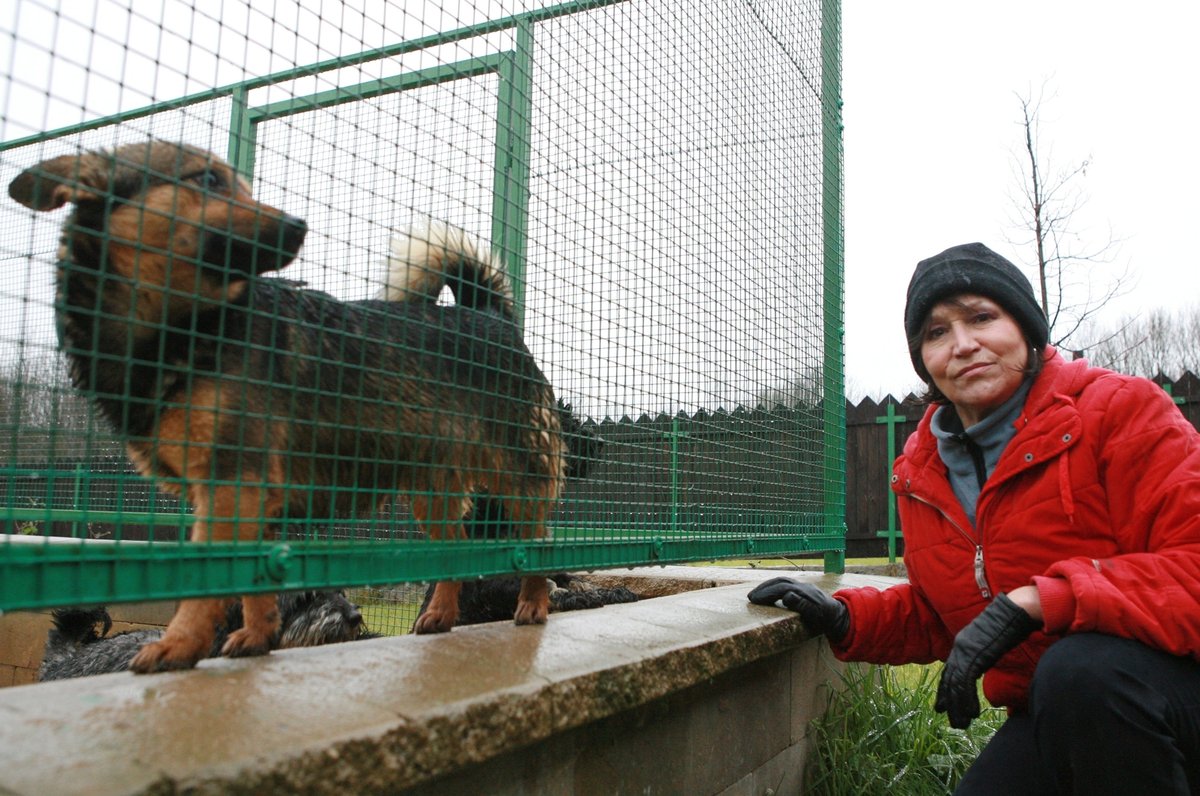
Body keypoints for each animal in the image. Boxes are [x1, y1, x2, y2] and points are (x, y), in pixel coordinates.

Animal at [9, 141, 564, 672]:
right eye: (207, 180)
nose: (299, 226)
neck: (188, 329)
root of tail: (488, 316)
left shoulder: (232, 485)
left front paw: (179, 646)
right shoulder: (242, 497)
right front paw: (256, 638)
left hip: (520, 477)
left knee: (539, 538)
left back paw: (533, 605)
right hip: (432, 492)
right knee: (455, 551)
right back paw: (441, 616)